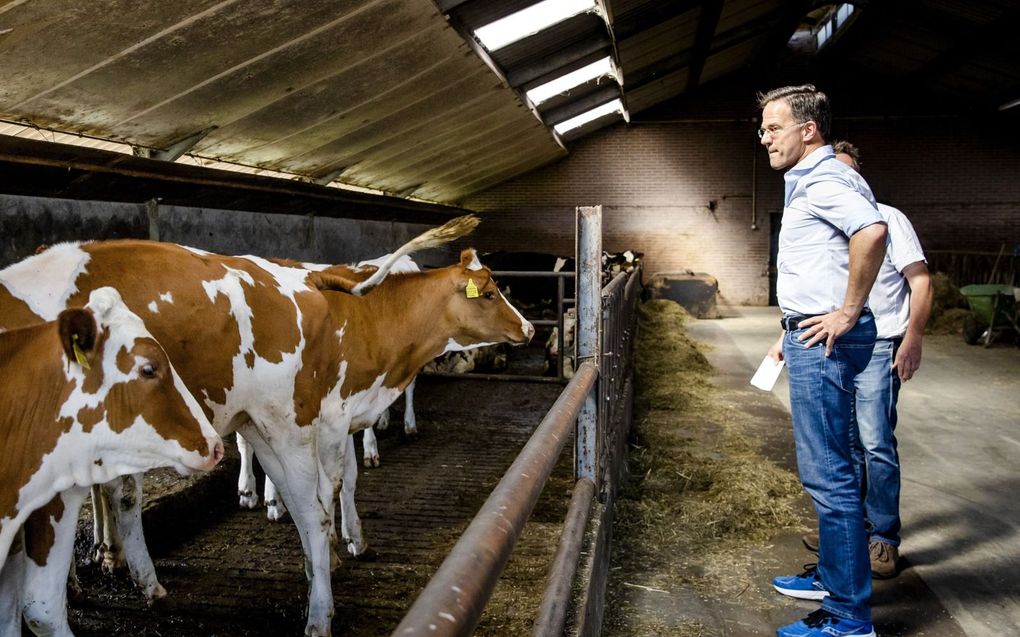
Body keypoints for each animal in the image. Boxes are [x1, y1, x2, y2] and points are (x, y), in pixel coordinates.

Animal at [1, 216, 534, 631]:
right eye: (489, 292)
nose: (529, 328)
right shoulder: (331, 413)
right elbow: (336, 484)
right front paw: (341, 546)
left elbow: (339, 481)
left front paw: (337, 544)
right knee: (131, 498)